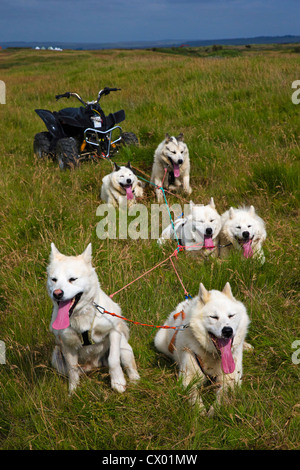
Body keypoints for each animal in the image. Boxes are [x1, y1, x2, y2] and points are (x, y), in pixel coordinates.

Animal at [47, 242, 141, 392]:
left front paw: (118, 382)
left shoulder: (113, 331)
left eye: (72, 279)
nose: (57, 293)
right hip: (56, 356)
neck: (81, 315)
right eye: (53, 280)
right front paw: (73, 392)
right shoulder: (67, 345)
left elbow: (113, 359)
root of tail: (94, 365)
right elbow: (72, 370)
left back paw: (135, 381)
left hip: (124, 347)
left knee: (129, 366)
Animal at [154, 280, 250, 414]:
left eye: (231, 316)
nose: (227, 331)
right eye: (213, 317)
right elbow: (193, 394)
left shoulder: (232, 378)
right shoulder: (187, 378)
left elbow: (223, 394)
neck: (213, 356)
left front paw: (215, 410)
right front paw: (200, 411)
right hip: (159, 342)